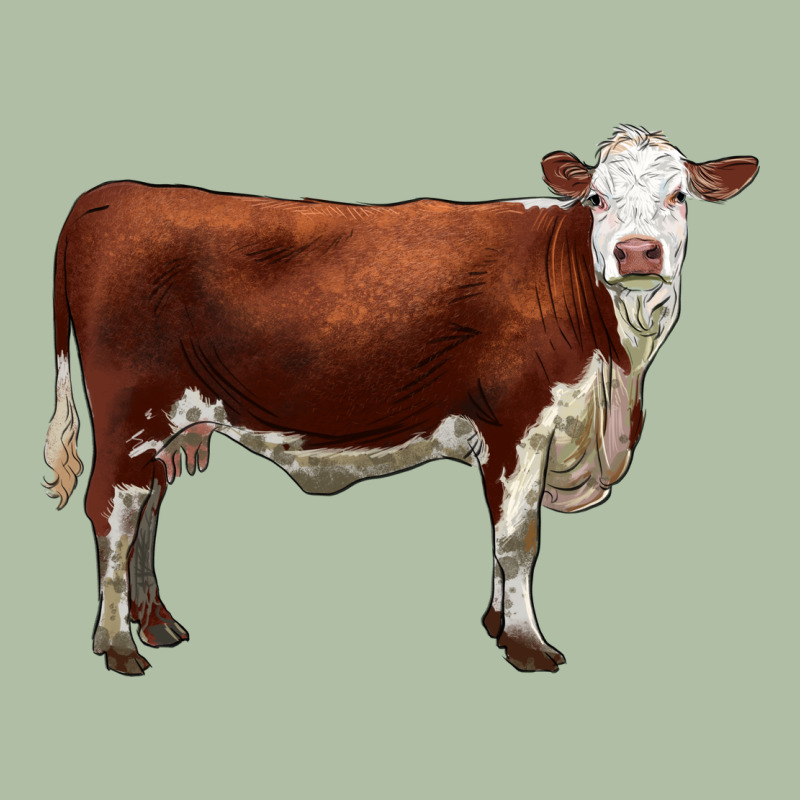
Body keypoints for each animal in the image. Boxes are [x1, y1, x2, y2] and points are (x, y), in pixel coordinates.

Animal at [43, 125, 758, 675]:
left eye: (679, 195)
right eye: (597, 197)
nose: (638, 253)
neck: (613, 381)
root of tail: (110, 194)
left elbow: (498, 532)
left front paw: (496, 622)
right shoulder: (519, 422)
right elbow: (518, 539)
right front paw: (526, 645)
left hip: (170, 423)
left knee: (148, 508)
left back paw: (156, 623)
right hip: (131, 412)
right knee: (112, 510)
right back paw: (117, 645)